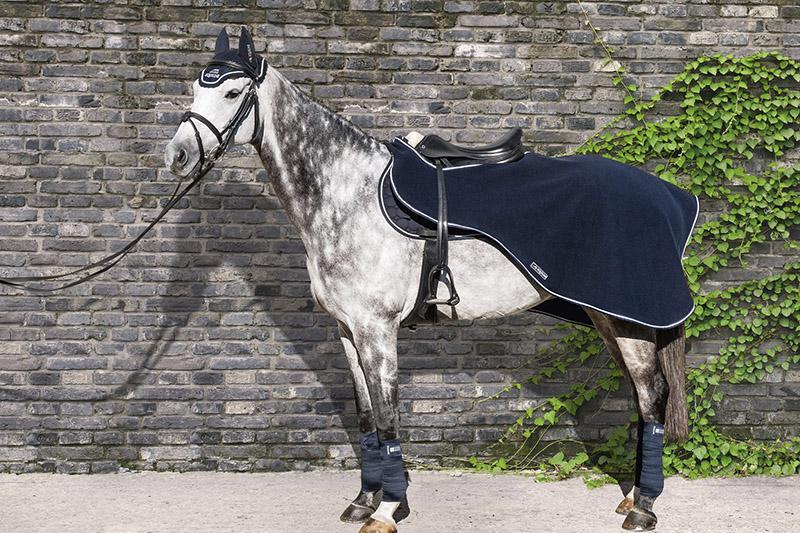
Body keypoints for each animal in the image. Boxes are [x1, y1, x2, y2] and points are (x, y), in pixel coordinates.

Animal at [165, 27, 689, 533]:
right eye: (194, 88)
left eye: (233, 92)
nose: (177, 155)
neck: (346, 195)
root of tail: (669, 197)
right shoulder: (347, 331)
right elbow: (366, 417)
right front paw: (364, 499)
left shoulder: (377, 330)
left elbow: (389, 418)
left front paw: (387, 509)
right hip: (608, 320)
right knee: (641, 397)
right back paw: (631, 498)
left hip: (629, 323)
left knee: (652, 396)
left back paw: (644, 508)